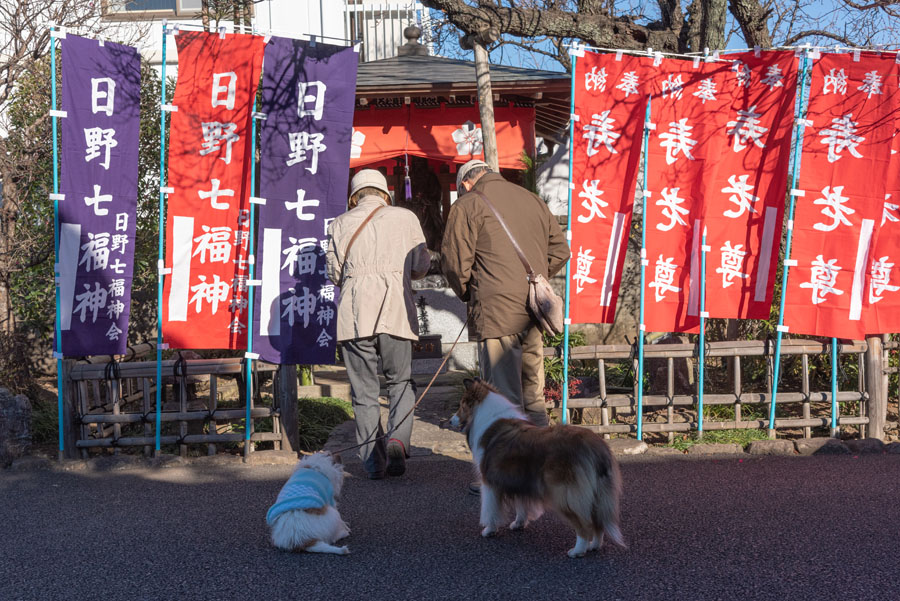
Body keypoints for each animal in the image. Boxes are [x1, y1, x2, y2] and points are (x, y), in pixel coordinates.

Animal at [450, 378, 624, 556]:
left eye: (461, 405)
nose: (450, 421)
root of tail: (596, 448)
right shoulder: (519, 479)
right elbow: (521, 506)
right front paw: (518, 524)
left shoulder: (489, 482)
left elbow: (490, 510)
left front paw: (489, 530)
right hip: (597, 495)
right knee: (598, 523)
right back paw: (594, 545)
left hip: (565, 495)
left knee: (584, 525)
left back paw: (578, 550)